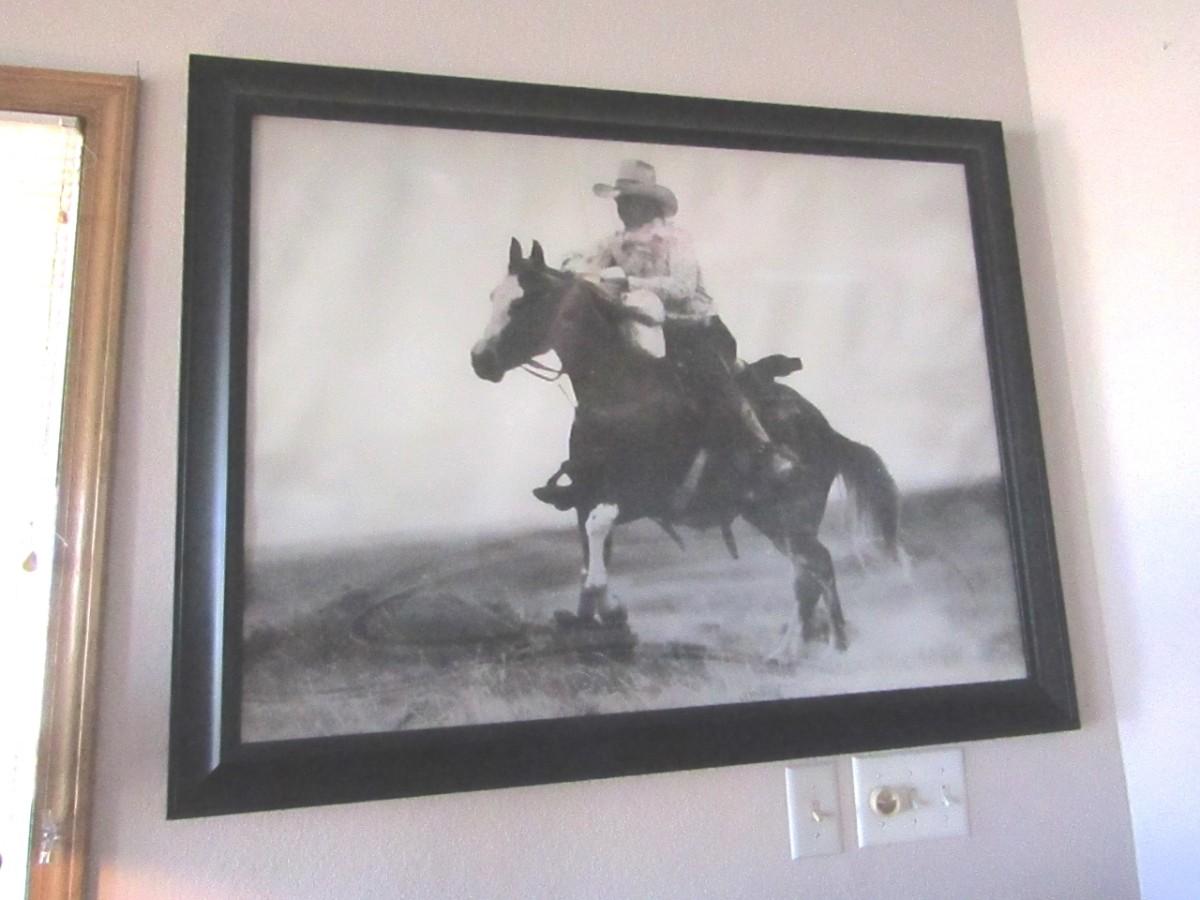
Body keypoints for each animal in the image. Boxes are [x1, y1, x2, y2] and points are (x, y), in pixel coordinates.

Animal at [470, 239, 898, 654]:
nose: (480, 360)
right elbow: (591, 555)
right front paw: (595, 617)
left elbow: (598, 532)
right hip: (770, 518)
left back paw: (808, 649)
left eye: (523, 301)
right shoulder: (585, 495)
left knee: (815, 568)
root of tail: (828, 431)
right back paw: (806, 648)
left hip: (794, 516)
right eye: (493, 295)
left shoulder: (639, 495)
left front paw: (608, 607)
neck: (621, 393)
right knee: (810, 570)